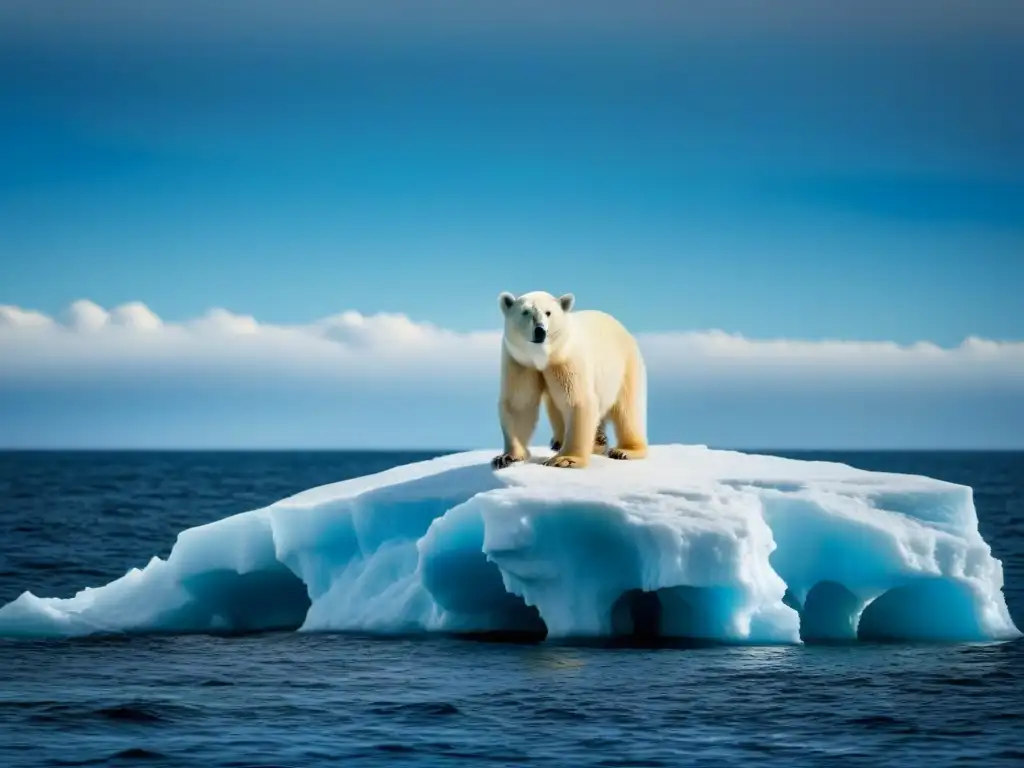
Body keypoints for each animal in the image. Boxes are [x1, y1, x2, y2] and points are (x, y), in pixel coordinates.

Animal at [489, 290, 647, 468]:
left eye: (548, 312)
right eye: (526, 312)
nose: (540, 331)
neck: (543, 357)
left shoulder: (566, 360)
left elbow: (576, 401)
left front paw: (565, 459)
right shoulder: (520, 363)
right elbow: (519, 404)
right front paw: (506, 457)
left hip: (625, 367)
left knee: (628, 410)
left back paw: (624, 450)